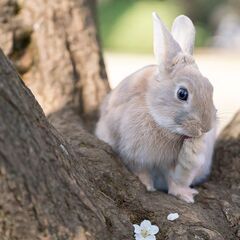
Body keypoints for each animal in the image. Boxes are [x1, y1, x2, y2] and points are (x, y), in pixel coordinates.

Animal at [95, 11, 218, 202]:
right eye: (182, 93)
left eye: (210, 87)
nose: (205, 128)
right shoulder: (134, 154)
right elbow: (141, 170)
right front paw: (147, 186)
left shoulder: (168, 163)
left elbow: (172, 179)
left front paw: (184, 195)